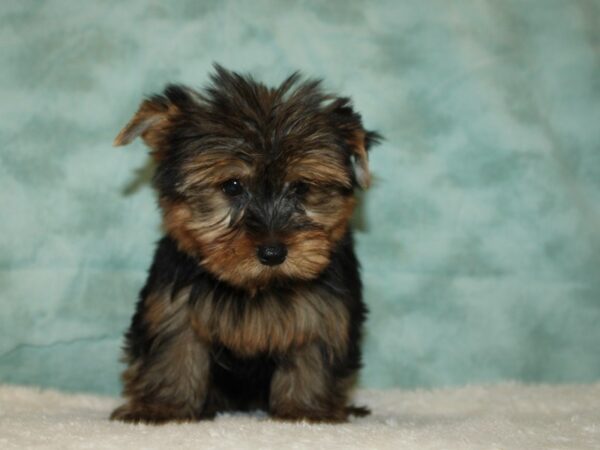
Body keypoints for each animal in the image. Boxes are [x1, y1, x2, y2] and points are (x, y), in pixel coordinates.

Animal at [109, 65, 380, 424]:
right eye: (232, 186)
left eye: (302, 187)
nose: (273, 252)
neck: (258, 286)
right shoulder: (174, 307)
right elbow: (174, 350)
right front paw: (161, 407)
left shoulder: (325, 312)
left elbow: (314, 351)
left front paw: (307, 410)